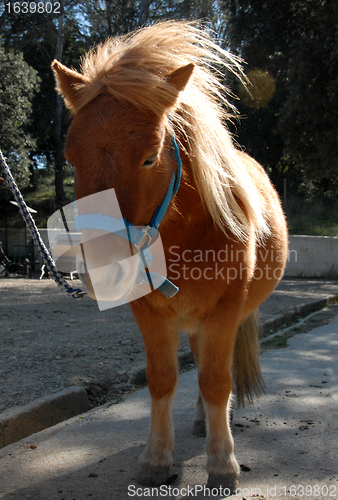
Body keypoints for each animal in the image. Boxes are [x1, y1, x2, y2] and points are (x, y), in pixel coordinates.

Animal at [52, 22, 288, 492]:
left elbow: (217, 381)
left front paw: (222, 462)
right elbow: (163, 381)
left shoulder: (224, 311)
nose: (104, 270)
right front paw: (156, 458)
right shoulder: (150, 312)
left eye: (149, 158)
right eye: (70, 159)